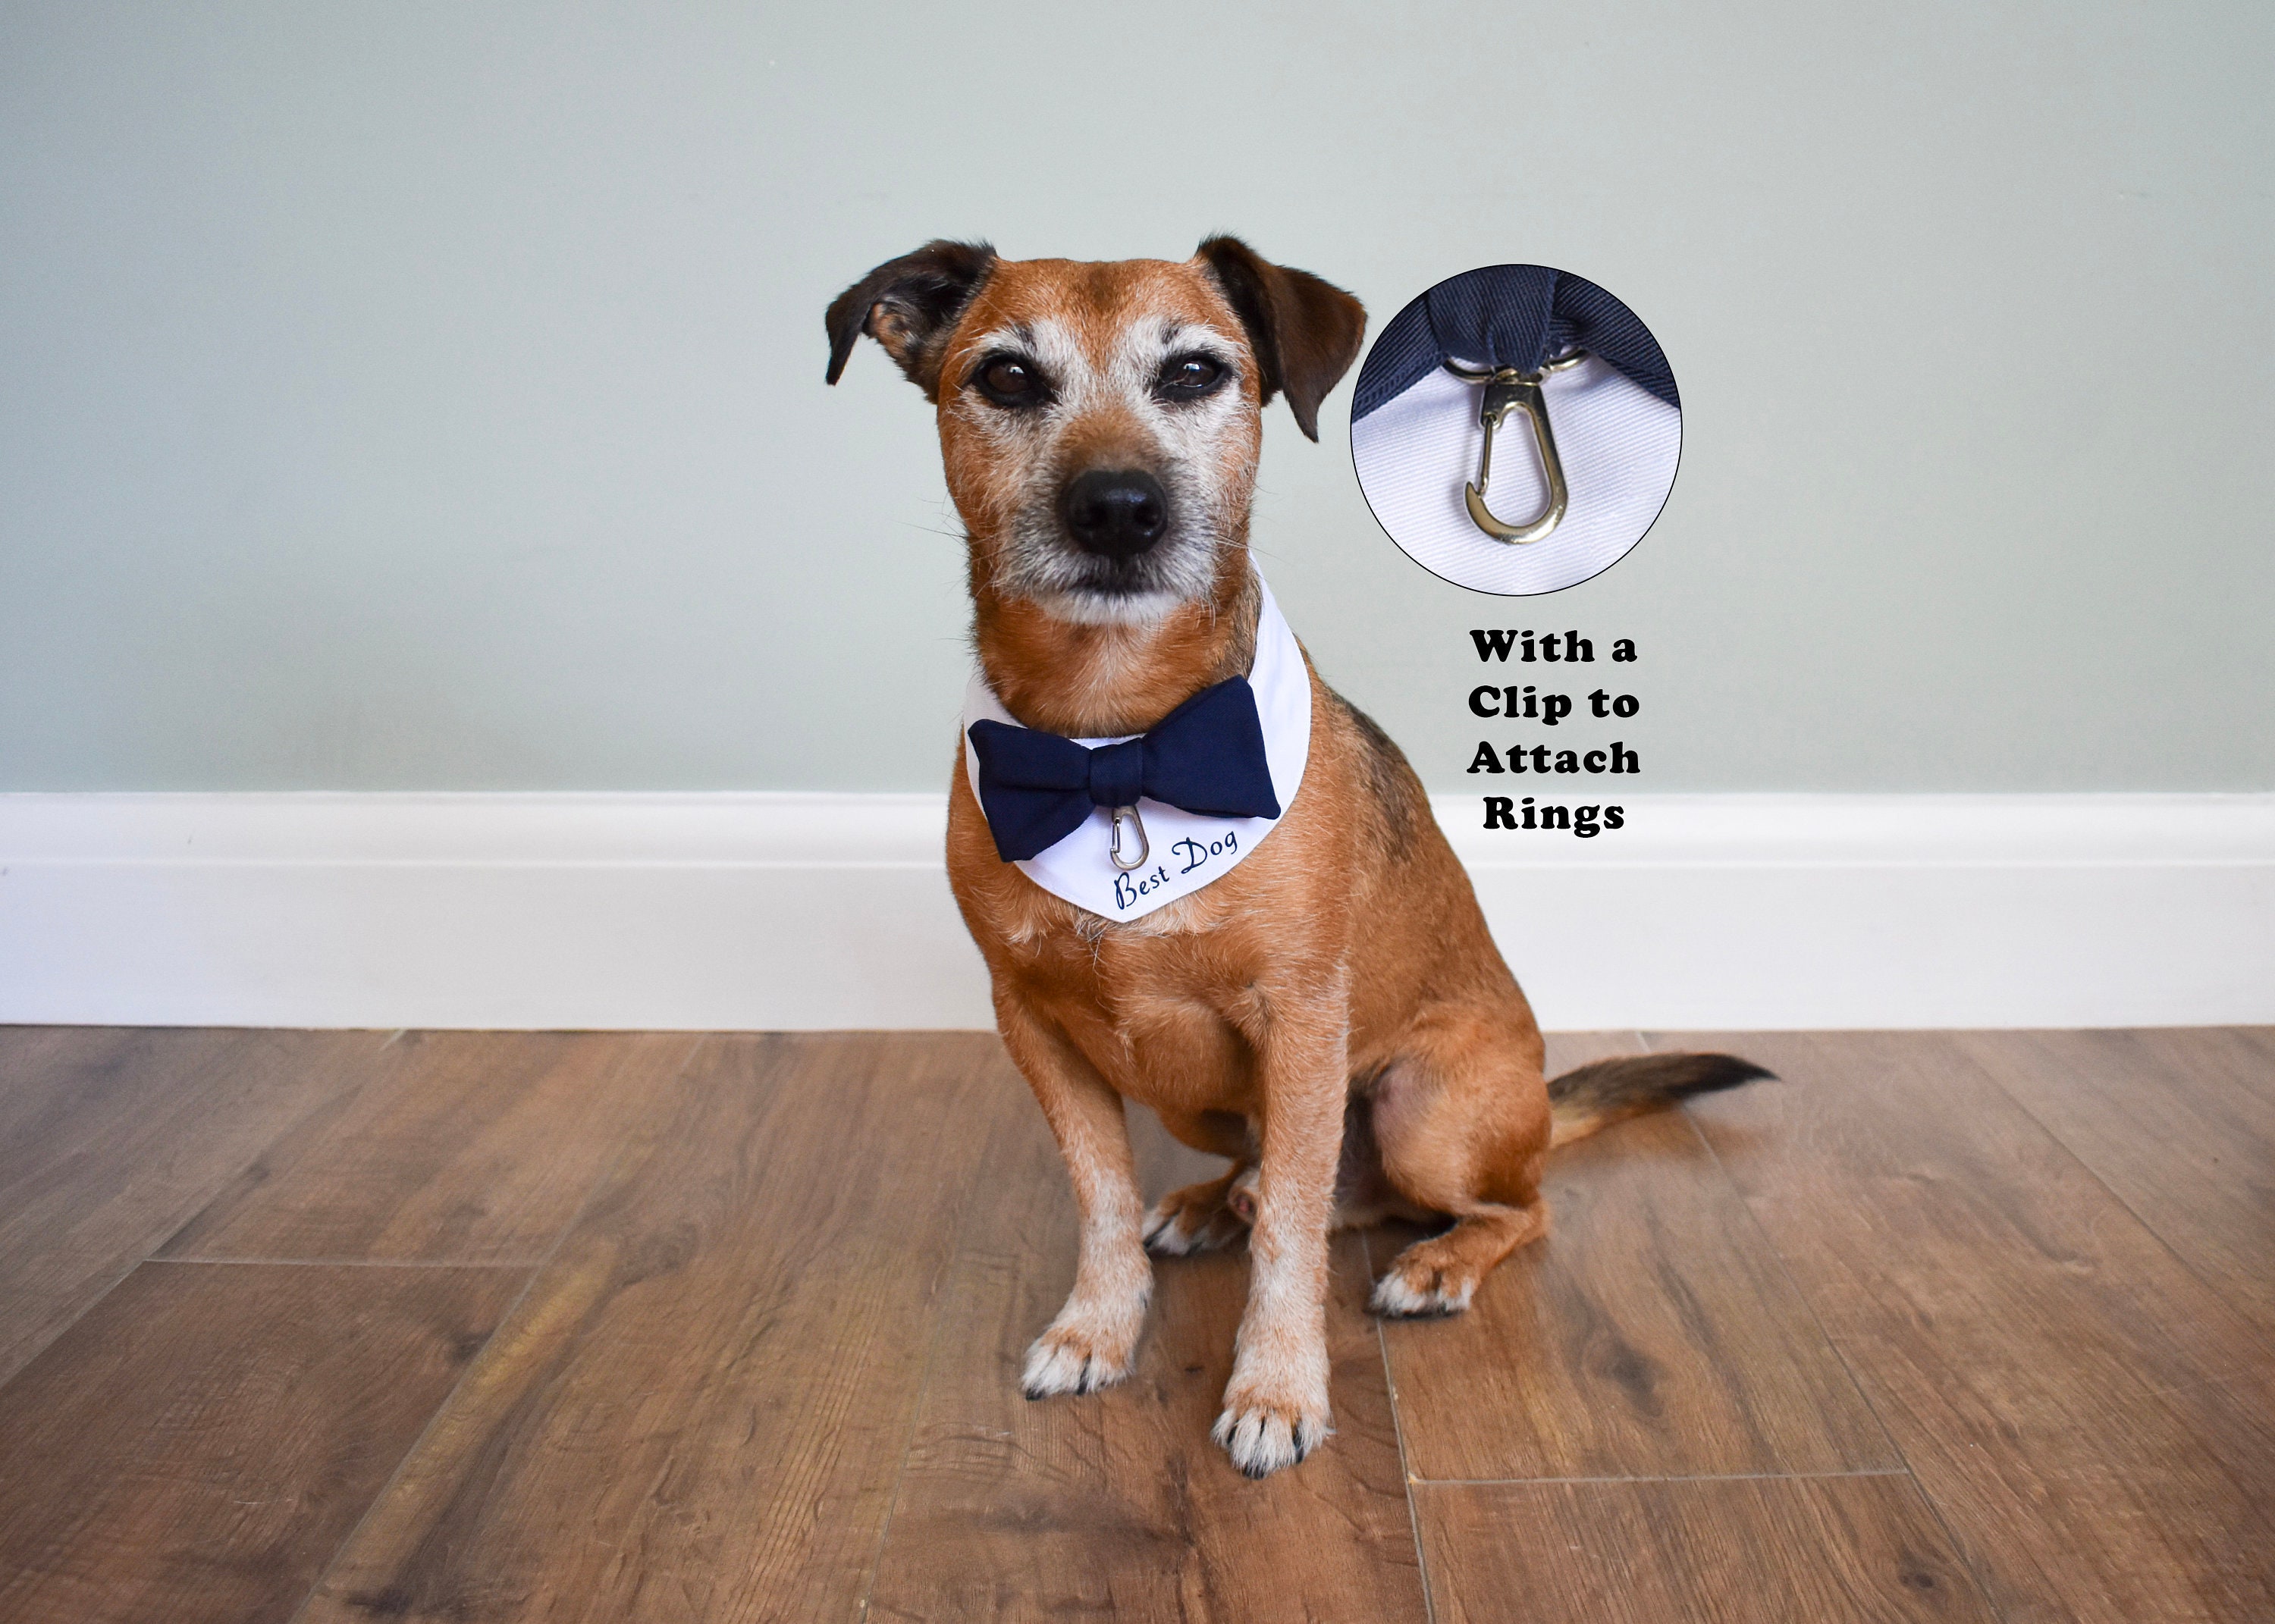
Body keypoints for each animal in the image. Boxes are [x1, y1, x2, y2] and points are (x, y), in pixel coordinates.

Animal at [828, 237, 1765, 1465]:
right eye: (1007, 379)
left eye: (1193, 373)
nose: (1117, 509)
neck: (1116, 745)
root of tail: (1539, 1102)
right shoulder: (1035, 1026)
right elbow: (1101, 1196)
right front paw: (1098, 1326)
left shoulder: (1304, 1019)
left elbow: (1289, 1234)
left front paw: (1277, 1389)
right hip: (1192, 1095)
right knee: (1281, 1175)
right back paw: (1208, 1201)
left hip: (1424, 1109)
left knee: (1508, 1205)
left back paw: (1438, 1261)